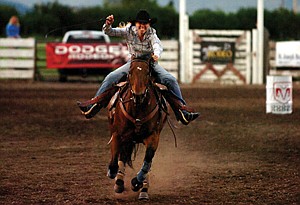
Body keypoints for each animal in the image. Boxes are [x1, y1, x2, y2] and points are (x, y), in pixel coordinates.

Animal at [106, 53, 168, 199]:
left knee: (147, 162)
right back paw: (119, 183)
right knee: (122, 156)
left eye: (147, 73)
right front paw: (114, 175)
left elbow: (148, 160)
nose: (138, 95)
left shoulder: (153, 137)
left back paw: (143, 189)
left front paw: (137, 183)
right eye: (130, 72)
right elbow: (115, 160)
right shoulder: (117, 134)